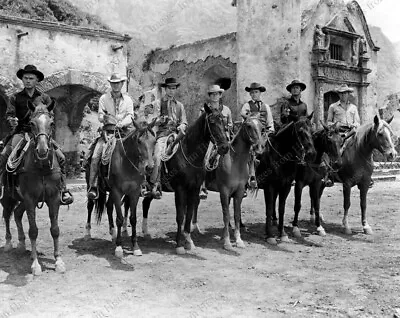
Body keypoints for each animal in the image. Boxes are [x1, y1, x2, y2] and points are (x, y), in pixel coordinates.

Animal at [1, 100, 66, 276]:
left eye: (51, 123)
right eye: (31, 123)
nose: (42, 150)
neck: (42, 167)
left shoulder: (54, 198)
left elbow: (55, 229)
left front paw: (58, 261)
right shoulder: (30, 199)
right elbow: (34, 231)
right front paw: (36, 265)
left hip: (21, 200)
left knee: (16, 214)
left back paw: (23, 244)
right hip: (9, 196)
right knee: (7, 214)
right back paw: (9, 243)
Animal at [94, 120, 157, 258]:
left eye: (154, 141)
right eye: (139, 141)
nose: (149, 167)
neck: (127, 164)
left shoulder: (134, 192)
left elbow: (133, 219)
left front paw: (135, 247)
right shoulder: (117, 191)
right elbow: (119, 218)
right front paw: (119, 247)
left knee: (108, 206)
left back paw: (112, 233)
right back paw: (88, 232)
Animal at [141, 103, 230, 253]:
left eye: (224, 121)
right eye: (212, 121)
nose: (224, 147)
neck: (189, 156)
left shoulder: (193, 189)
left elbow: (188, 215)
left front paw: (189, 241)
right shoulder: (180, 189)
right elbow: (180, 216)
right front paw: (178, 245)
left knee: (145, 203)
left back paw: (145, 232)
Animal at [194, 115, 266, 250]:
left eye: (261, 127)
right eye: (248, 126)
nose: (259, 147)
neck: (235, 161)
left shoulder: (239, 192)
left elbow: (236, 214)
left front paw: (238, 240)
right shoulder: (224, 191)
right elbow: (226, 215)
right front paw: (227, 242)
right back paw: (195, 228)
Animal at [255, 115, 318, 245]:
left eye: (312, 131)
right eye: (300, 131)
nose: (312, 154)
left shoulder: (286, 186)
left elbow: (281, 208)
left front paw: (282, 234)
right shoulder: (269, 187)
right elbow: (269, 209)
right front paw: (270, 235)